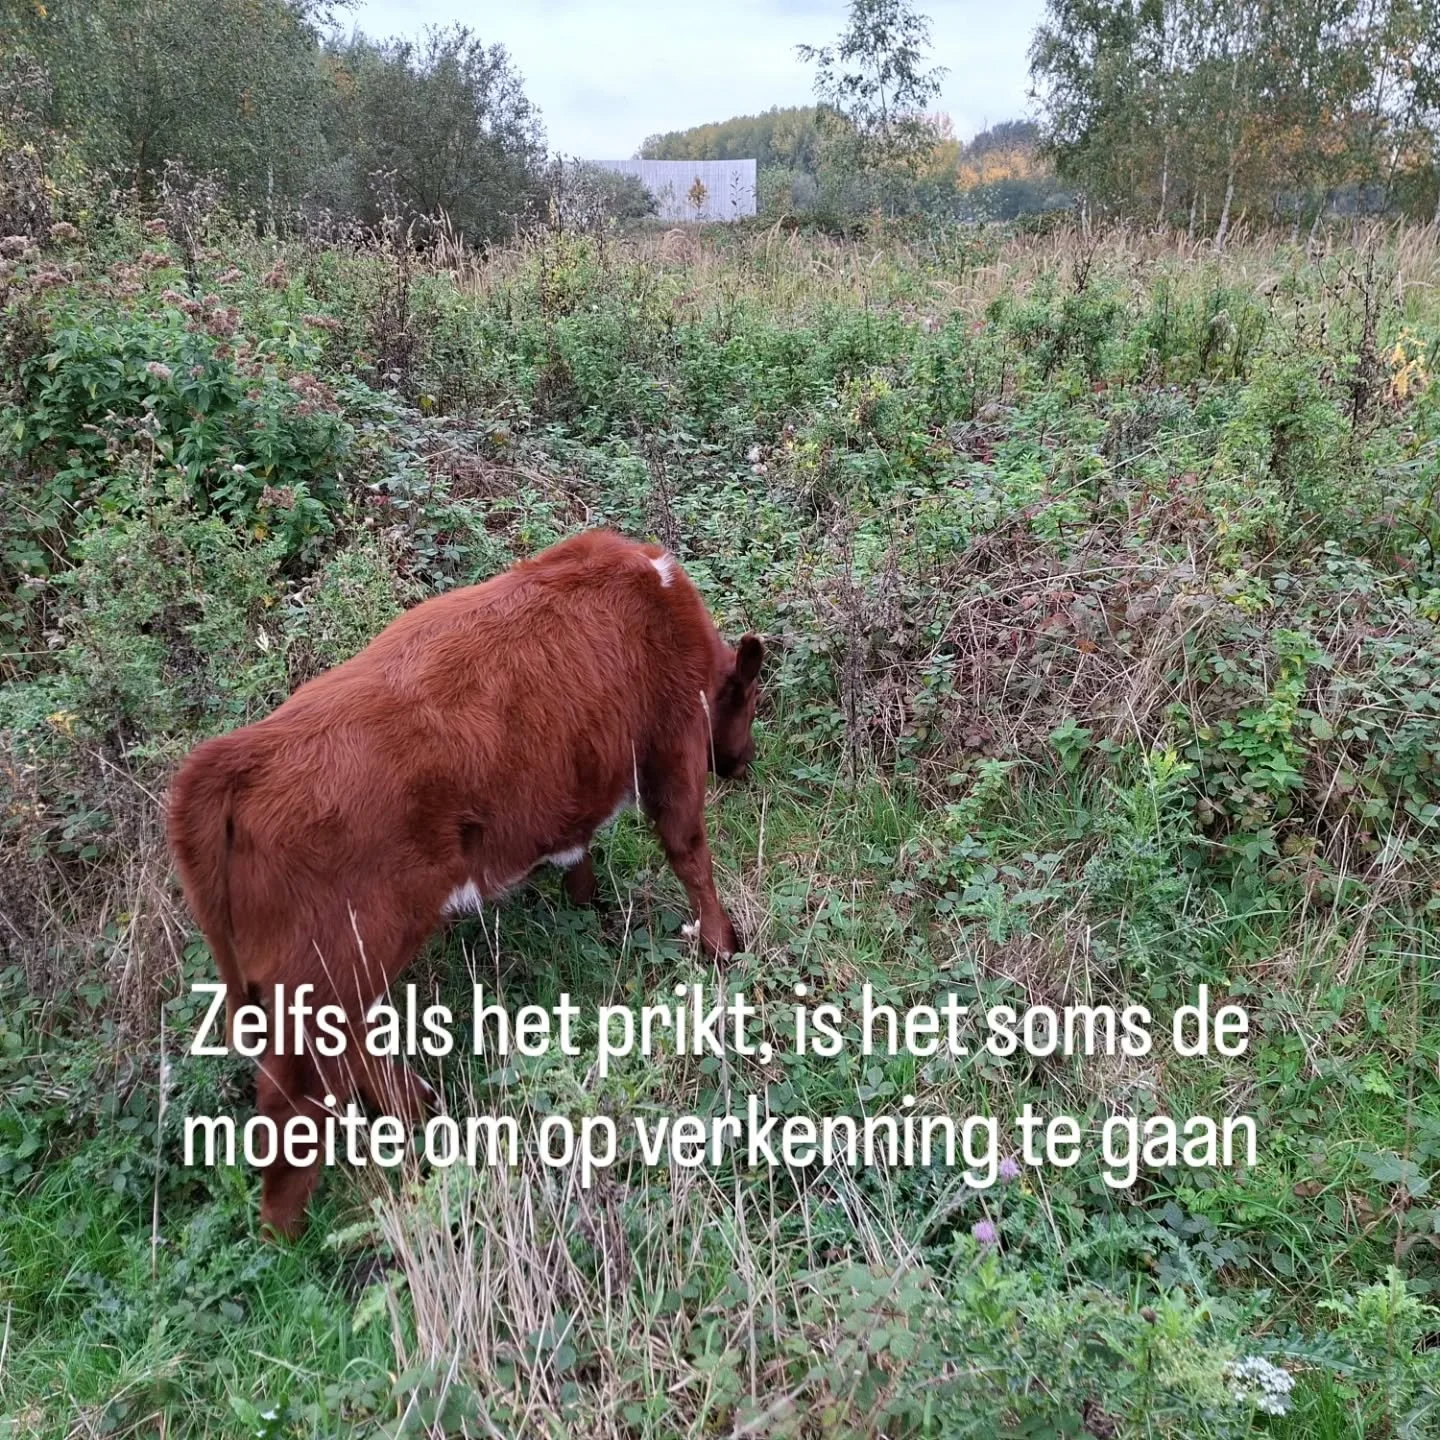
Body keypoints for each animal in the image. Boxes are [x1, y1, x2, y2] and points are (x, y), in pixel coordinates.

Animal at [167, 529, 763, 1237]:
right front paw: (723, 944)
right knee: (295, 1102)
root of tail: (237, 757)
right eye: (750, 702)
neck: (658, 597)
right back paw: (288, 1236)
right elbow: (689, 854)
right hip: (330, 964)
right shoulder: (672, 747)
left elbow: (577, 851)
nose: (743, 762)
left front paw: (591, 907)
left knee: (350, 1045)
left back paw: (417, 1108)